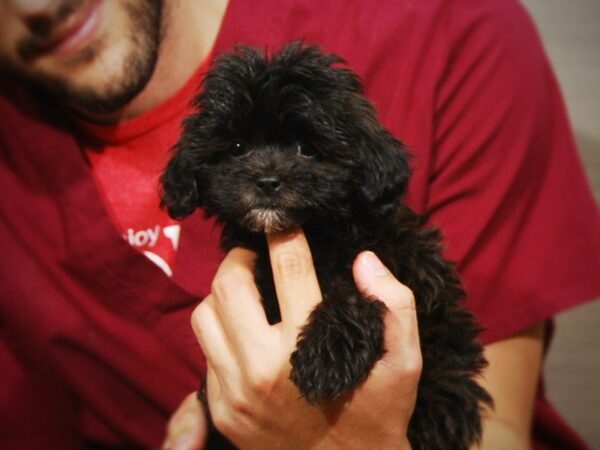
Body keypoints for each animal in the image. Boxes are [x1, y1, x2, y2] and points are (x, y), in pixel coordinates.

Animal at [161, 43, 492, 450]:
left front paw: (326, 355)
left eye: (306, 148)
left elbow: (354, 292)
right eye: (237, 148)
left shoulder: (410, 272)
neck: (321, 232)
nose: (267, 181)